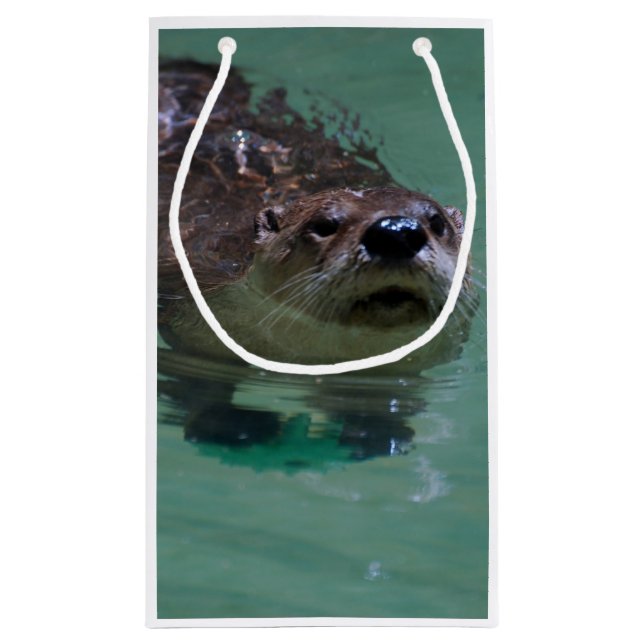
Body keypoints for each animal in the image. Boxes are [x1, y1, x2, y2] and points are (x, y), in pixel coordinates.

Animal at [157, 61, 478, 459]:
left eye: (436, 222)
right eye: (325, 225)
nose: (395, 231)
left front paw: (373, 428)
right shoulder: (190, 323)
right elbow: (196, 383)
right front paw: (235, 426)